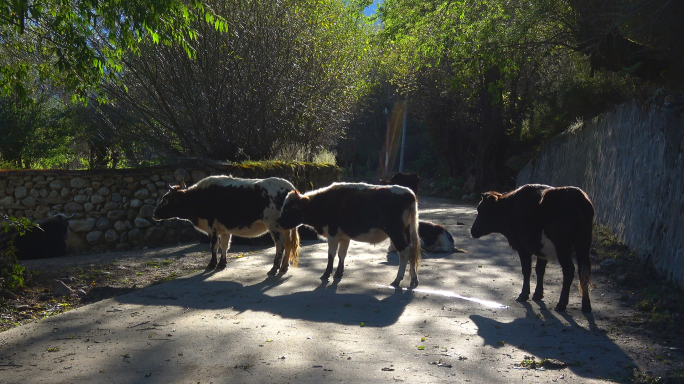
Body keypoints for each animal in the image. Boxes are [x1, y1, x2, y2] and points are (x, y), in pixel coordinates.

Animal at [155, 176, 300, 274]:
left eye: (166, 199)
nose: (154, 212)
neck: (199, 198)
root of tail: (290, 188)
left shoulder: (212, 228)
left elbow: (214, 247)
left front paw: (212, 264)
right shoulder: (224, 230)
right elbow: (224, 246)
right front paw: (222, 263)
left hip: (274, 226)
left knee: (280, 245)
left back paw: (274, 268)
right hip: (284, 228)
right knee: (288, 244)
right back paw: (283, 267)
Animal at [276, 183, 420, 288]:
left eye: (288, 208)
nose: (277, 223)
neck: (324, 203)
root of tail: (409, 193)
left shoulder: (332, 235)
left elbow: (331, 255)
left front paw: (326, 274)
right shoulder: (344, 237)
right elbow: (342, 254)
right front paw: (339, 273)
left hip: (395, 233)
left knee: (405, 252)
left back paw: (397, 280)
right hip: (406, 232)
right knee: (411, 250)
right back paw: (413, 279)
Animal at [470, 184, 592, 314]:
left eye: (481, 209)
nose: (473, 230)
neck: (511, 208)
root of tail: (578, 196)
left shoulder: (523, 248)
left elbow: (526, 270)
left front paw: (524, 294)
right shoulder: (542, 250)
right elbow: (539, 270)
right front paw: (538, 294)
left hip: (562, 247)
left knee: (569, 270)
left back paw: (561, 304)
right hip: (583, 247)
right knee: (583, 272)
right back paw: (586, 305)